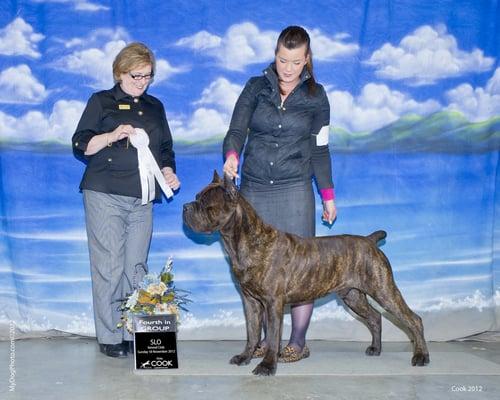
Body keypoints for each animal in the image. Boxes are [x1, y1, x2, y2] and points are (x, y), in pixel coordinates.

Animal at [184, 172, 430, 376]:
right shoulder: (251, 302)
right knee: (375, 317)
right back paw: (375, 349)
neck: (244, 241)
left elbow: (272, 337)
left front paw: (267, 366)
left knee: (413, 319)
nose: (186, 206)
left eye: (205, 203)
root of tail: (370, 240)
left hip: (384, 290)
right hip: (353, 296)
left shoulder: (272, 303)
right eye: (196, 197)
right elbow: (252, 333)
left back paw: (421, 356)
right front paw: (245, 357)